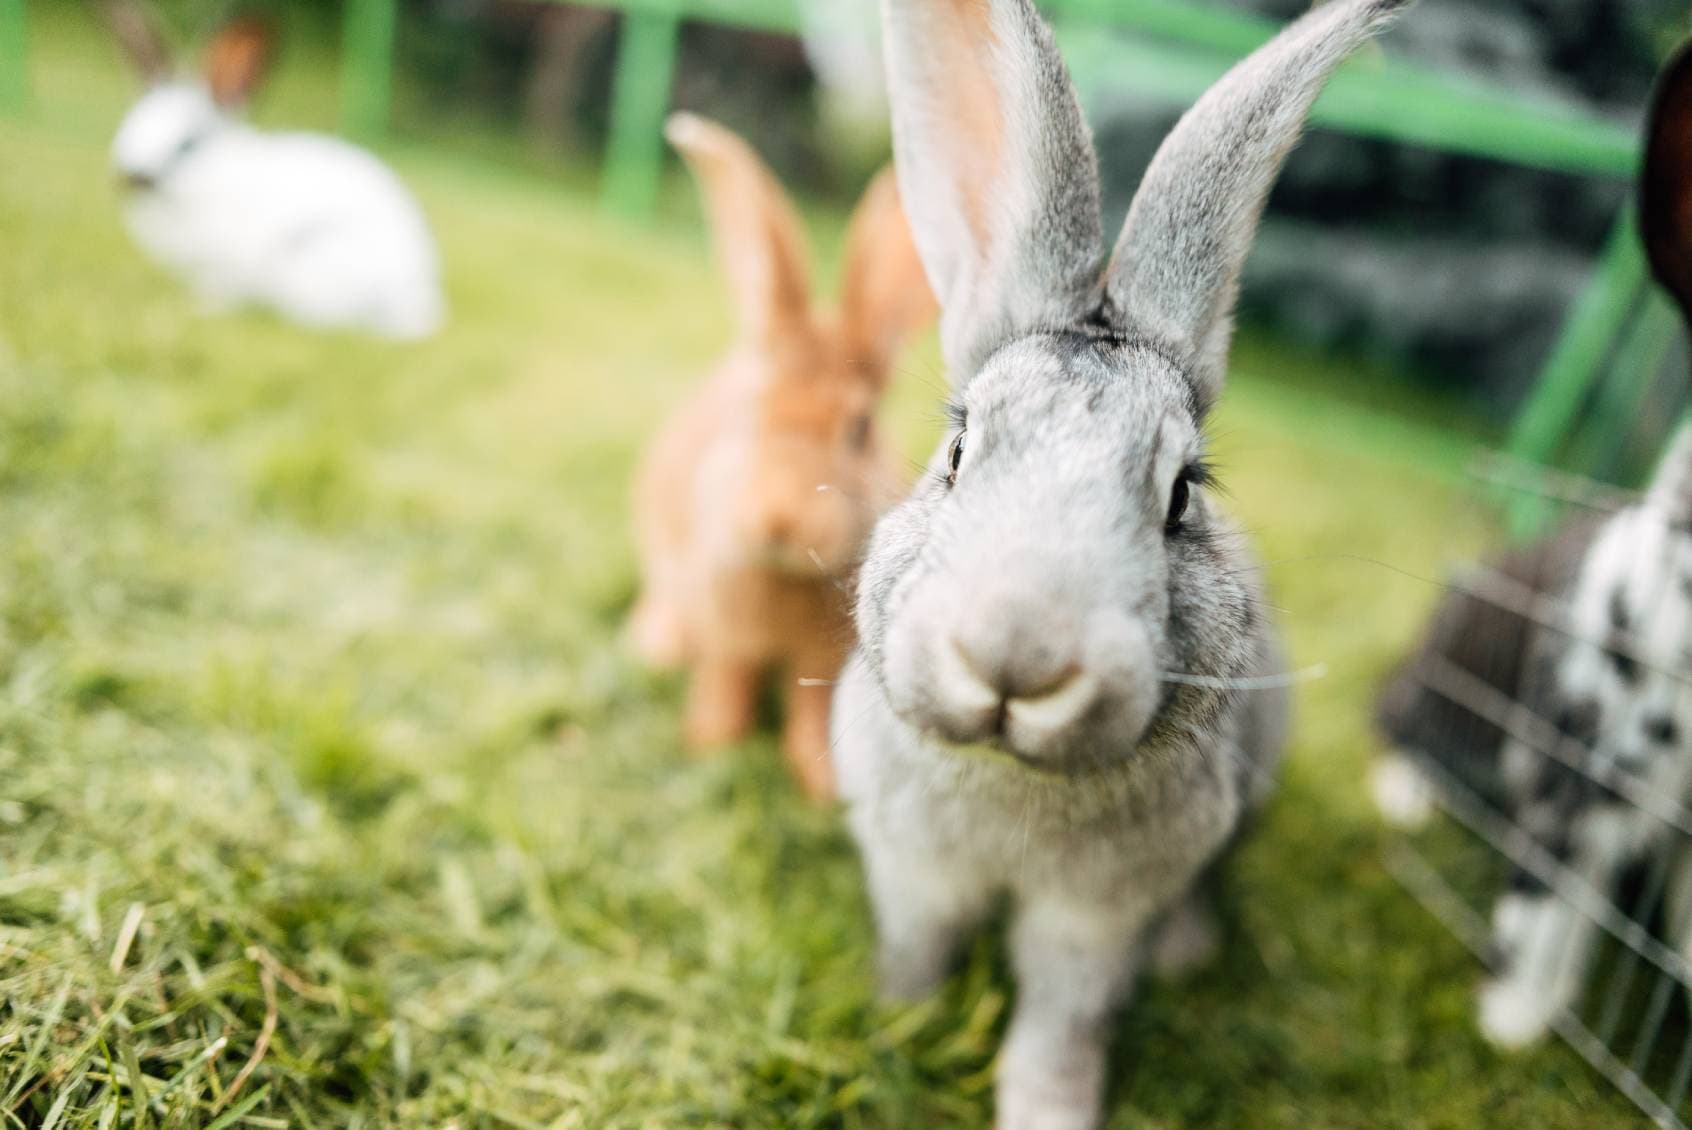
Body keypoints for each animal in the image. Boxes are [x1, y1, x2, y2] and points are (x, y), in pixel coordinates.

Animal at [101, 1, 445, 340]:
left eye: (188, 144)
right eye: (131, 125)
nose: (134, 177)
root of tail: (416, 303)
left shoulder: (228, 261)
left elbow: (223, 288)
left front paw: (204, 308)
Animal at [626, 113, 935, 802]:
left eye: (860, 429)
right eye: (752, 409)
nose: (778, 520)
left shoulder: (822, 660)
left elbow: (810, 711)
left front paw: (821, 785)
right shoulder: (724, 628)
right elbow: (725, 680)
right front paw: (710, 743)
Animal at [831, 1, 1408, 1126]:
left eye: (1182, 495)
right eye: (957, 450)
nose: (1015, 658)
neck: (1014, 783)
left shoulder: (1096, 920)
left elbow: (1064, 1023)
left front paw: (1049, 1109)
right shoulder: (912, 871)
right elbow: (917, 951)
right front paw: (892, 1023)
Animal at [1374, 41, 1692, 1049]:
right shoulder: (1575, 774)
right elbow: (1546, 912)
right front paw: (1510, 1028)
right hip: (1450, 679)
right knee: (1396, 721)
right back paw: (1406, 800)